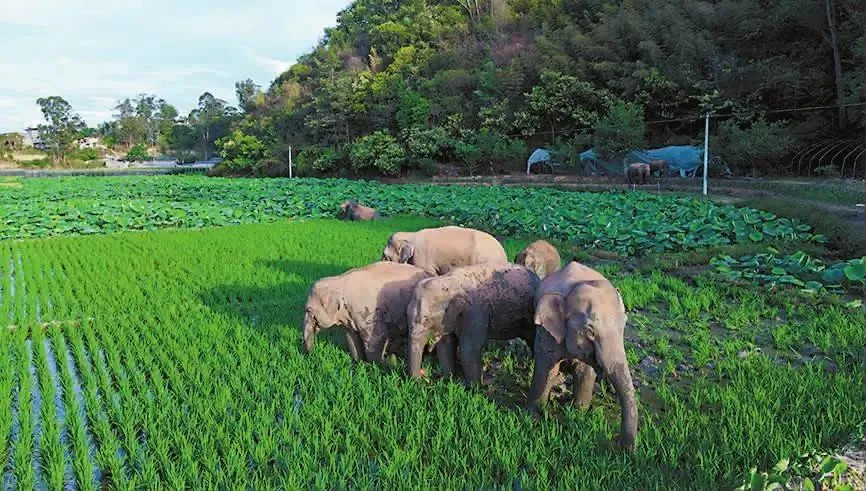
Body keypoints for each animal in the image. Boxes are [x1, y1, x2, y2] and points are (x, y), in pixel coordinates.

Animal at [302, 264, 432, 364]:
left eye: (308, 310)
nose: (310, 355)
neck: (339, 280)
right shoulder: (350, 316)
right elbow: (351, 337)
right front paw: (359, 362)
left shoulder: (368, 312)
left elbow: (376, 337)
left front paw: (379, 364)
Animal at [406, 266, 540, 384]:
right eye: (406, 314)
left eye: (426, 319)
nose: (421, 379)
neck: (447, 281)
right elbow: (446, 346)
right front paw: (448, 380)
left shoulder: (474, 313)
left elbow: (469, 350)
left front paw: (473, 389)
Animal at [524, 262, 636, 454]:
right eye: (590, 332)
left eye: (623, 325)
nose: (623, 449)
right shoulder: (547, 332)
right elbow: (546, 368)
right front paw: (534, 417)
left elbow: (584, 372)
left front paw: (579, 414)